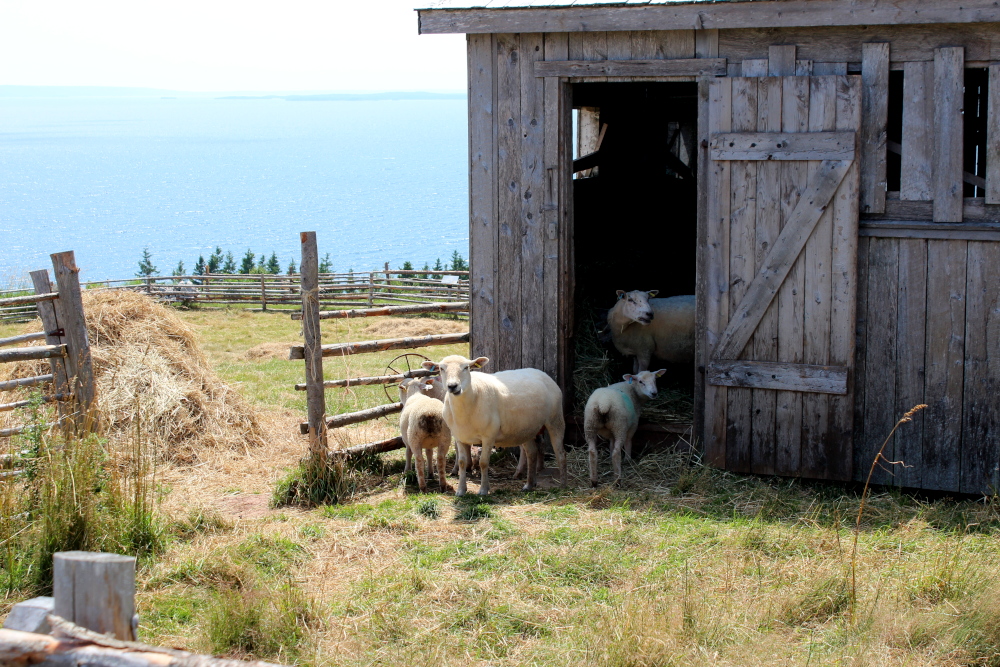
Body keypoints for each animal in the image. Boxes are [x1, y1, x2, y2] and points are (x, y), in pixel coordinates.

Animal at [420, 354, 568, 496]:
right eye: (441, 368)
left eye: (466, 367)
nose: (452, 386)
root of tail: (542, 373)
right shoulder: (459, 437)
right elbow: (462, 463)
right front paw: (461, 491)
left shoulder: (488, 436)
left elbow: (483, 462)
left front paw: (484, 490)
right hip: (526, 429)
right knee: (532, 452)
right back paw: (529, 485)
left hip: (555, 419)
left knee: (560, 453)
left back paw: (562, 485)